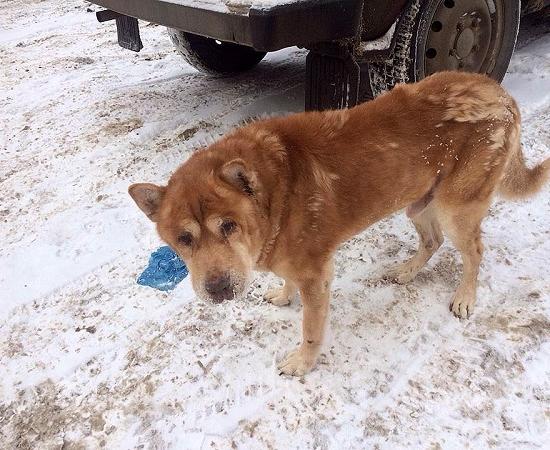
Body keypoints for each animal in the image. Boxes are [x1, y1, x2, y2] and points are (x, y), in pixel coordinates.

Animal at [130, 72, 550, 376]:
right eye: (184, 239)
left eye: (229, 226)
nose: (217, 290)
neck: (274, 192)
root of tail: (499, 92)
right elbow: (287, 281)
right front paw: (283, 295)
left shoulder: (316, 277)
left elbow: (311, 331)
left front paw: (303, 364)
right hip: (419, 203)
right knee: (432, 241)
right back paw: (407, 271)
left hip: (456, 208)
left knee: (474, 251)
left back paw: (465, 296)